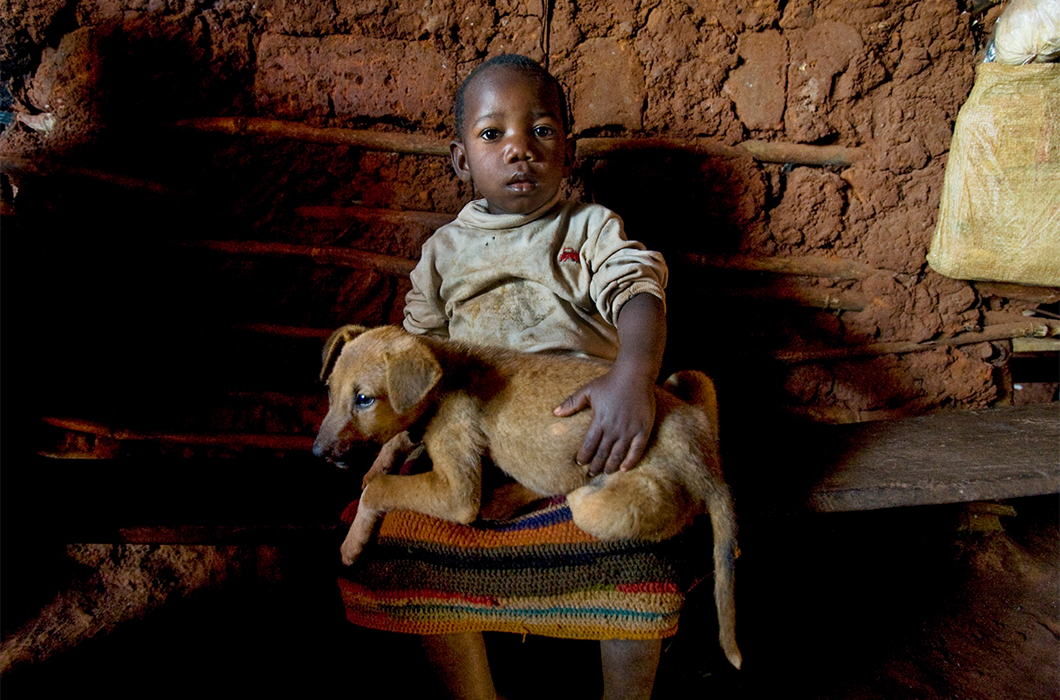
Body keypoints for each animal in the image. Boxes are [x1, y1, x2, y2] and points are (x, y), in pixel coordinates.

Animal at [313, 324, 741, 670]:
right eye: (330, 391)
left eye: (365, 399)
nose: (317, 453)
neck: (444, 377)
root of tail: (706, 460)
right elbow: (394, 446)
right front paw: (377, 465)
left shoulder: (457, 489)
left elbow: (382, 488)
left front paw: (351, 542)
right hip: (691, 379)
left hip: (608, 504)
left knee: (647, 509)